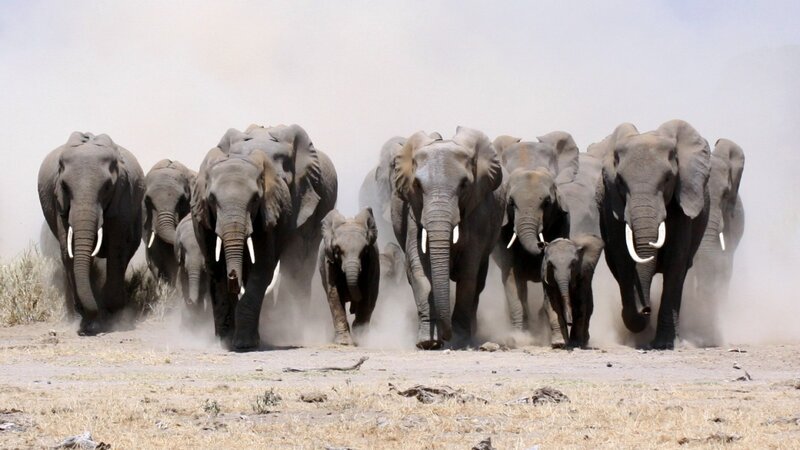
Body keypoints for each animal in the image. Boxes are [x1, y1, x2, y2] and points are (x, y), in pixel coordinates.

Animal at [38, 132, 145, 335]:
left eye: (107, 187)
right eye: (65, 186)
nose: (87, 329)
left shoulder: (122, 196)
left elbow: (117, 249)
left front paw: (111, 316)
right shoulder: (59, 203)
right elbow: (68, 251)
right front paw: (87, 320)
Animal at [318, 208, 380, 346]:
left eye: (365, 250)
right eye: (337, 250)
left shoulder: (372, 259)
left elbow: (368, 294)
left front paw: (361, 339)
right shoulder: (329, 261)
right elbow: (334, 294)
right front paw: (344, 343)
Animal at [391, 127, 505, 349]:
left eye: (464, 185)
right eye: (417, 185)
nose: (446, 337)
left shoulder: (479, 212)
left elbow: (468, 273)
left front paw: (459, 341)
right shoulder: (413, 211)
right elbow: (419, 268)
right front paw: (427, 342)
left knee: (478, 281)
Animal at [490, 131, 579, 340]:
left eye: (547, 202)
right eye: (511, 202)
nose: (542, 244)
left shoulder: (562, 219)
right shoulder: (503, 227)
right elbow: (512, 275)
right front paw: (520, 336)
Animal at [593, 120, 711, 349]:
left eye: (667, 179)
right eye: (620, 182)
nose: (646, 309)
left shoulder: (682, 206)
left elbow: (675, 263)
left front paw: (664, 344)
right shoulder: (612, 207)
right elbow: (623, 260)